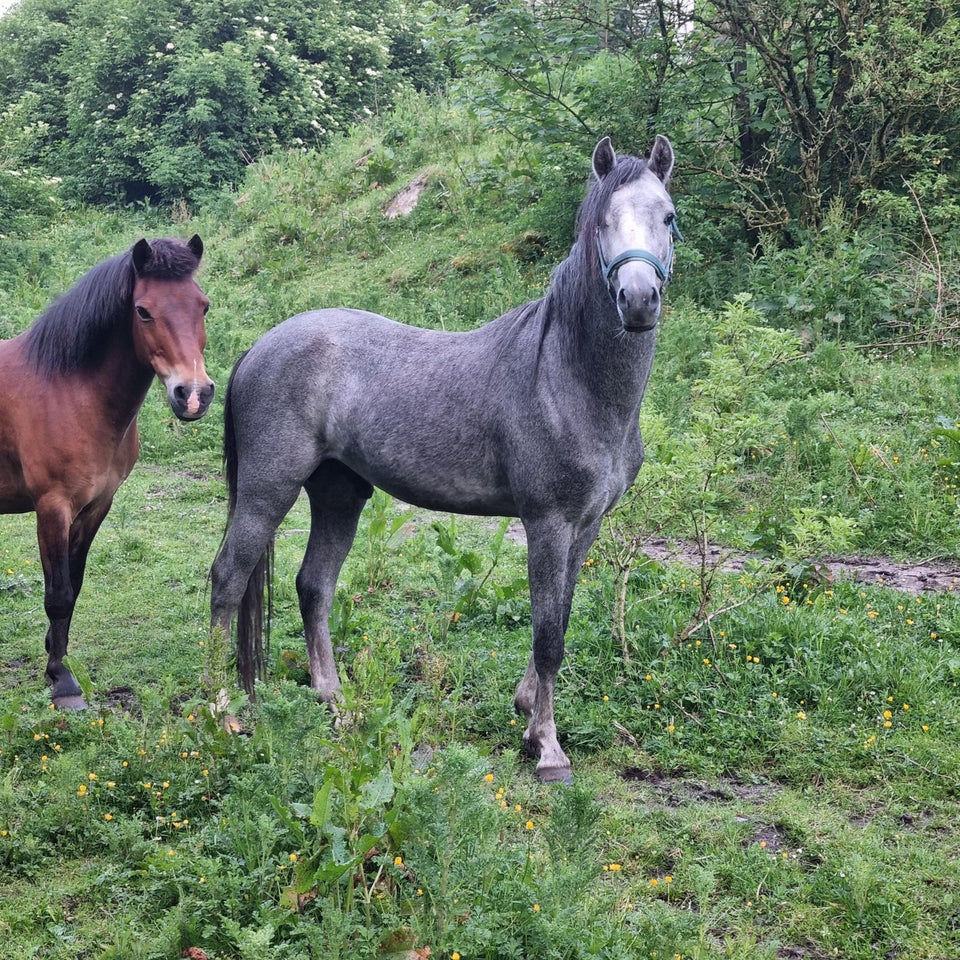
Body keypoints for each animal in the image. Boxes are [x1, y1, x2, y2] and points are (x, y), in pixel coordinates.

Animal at [0, 237, 214, 708]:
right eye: (143, 311)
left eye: (203, 306)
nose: (193, 395)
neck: (67, 389)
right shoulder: (53, 507)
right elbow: (58, 594)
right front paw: (62, 680)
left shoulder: (96, 505)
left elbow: (74, 585)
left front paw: (55, 655)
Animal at [212, 135, 676, 780]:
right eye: (602, 222)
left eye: (668, 217)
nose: (638, 300)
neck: (566, 377)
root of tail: (258, 346)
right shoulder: (548, 523)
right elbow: (548, 634)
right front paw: (548, 747)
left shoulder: (586, 526)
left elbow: (559, 616)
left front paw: (527, 712)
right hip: (266, 491)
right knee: (227, 581)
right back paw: (220, 710)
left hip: (339, 494)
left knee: (314, 586)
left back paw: (336, 701)